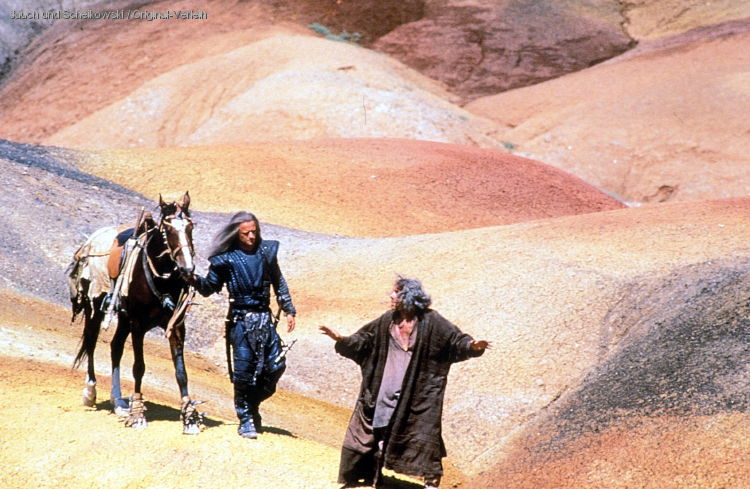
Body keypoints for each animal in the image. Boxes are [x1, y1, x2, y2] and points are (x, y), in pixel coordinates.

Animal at [67, 191, 204, 434]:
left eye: (190, 226)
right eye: (168, 229)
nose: (188, 269)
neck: (162, 278)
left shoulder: (176, 325)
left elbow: (181, 372)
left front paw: (189, 417)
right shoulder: (138, 325)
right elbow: (139, 367)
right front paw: (138, 414)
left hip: (123, 318)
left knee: (115, 348)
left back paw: (119, 402)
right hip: (95, 308)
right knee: (91, 343)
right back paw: (91, 392)